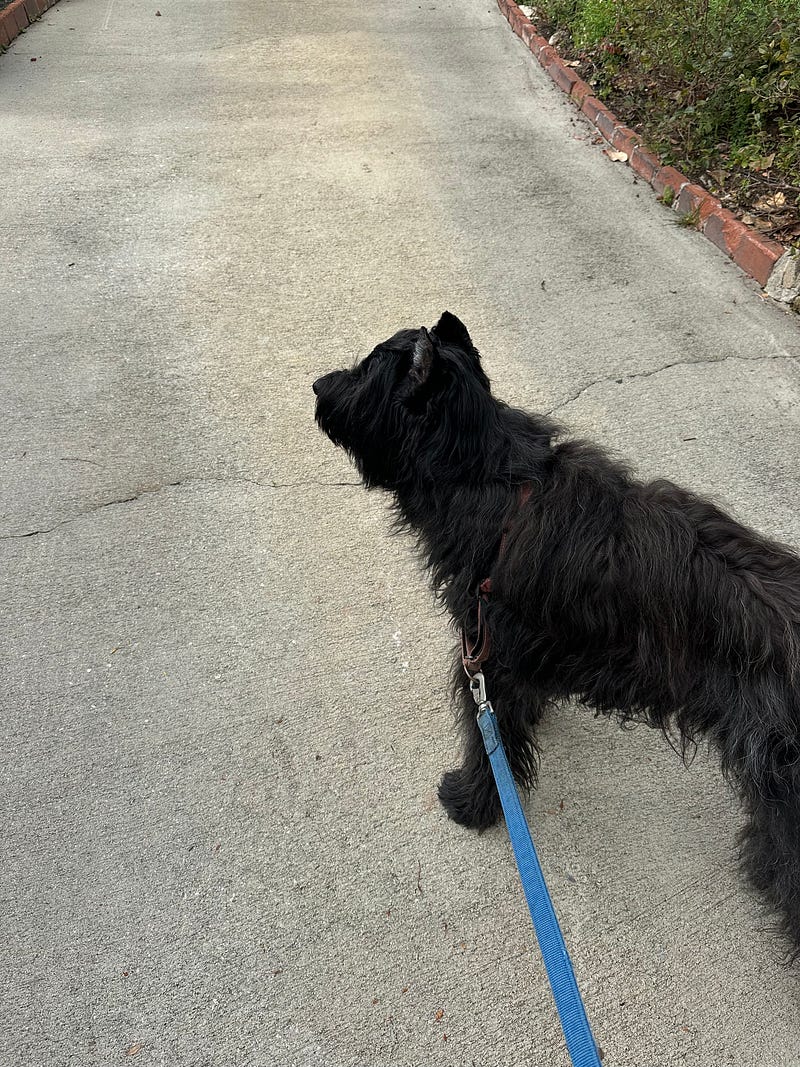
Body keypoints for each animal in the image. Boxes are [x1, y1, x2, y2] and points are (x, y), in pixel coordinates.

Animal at [313, 311, 800, 958]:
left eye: (367, 369)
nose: (317, 386)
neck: (487, 478)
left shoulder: (489, 658)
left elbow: (489, 743)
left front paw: (471, 804)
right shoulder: (520, 659)